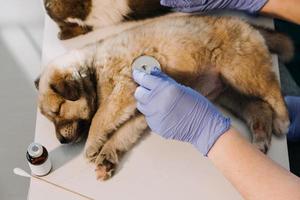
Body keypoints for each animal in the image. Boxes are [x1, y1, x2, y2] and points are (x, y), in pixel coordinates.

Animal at [36, 14, 292, 180]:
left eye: (58, 111)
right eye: (51, 118)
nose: (61, 141)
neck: (93, 68)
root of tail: (247, 25)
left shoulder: (123, 91)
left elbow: (101, 116)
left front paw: (92, 144)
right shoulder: (140, 111)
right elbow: (122, 133)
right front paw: (108, 155)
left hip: (242, 72)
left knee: (272, 90)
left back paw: (283, 120)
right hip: (231, 91)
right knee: (259, 108)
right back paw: (260, 137)